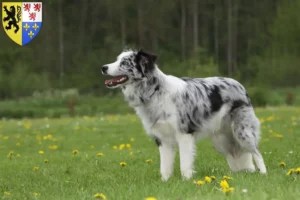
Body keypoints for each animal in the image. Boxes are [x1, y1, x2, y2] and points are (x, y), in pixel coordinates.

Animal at [102, 48, 266, 181]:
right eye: (117, 59)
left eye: (124, 62)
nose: (103, 67)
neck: (155, 90)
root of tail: (238, 84)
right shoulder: (162, 138)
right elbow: (165, 165)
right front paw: (165, 182)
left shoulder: (184, 133)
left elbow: (184, 163)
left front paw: (187, 181)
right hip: (222, 139)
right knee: (238, 155)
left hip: (242, 132)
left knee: (256, 152)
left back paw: (263, 174)